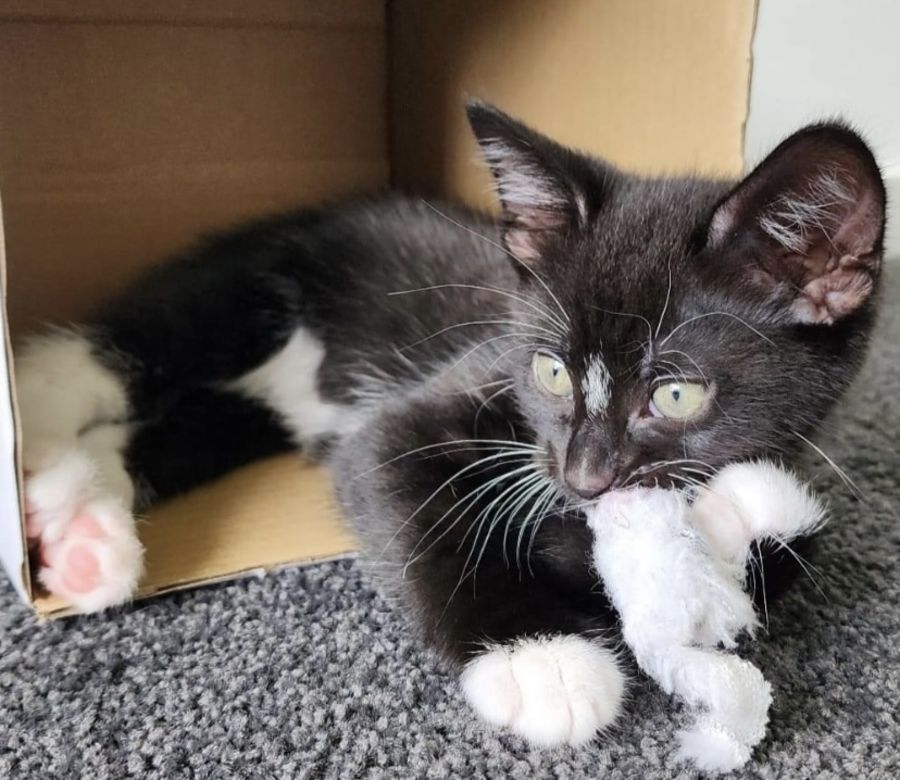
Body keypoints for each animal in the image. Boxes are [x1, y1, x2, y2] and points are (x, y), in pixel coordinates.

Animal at [16, 101, 885, 746]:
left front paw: (744, 513)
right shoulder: (434, 402)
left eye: (674, 396)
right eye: (551, 371)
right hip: (244, 282)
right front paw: (542, 660)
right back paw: (36, 428)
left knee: (171, 426)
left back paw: (79, 533)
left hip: (248, 410)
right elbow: (411, 497)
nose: (584, 476)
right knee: (117, 350)